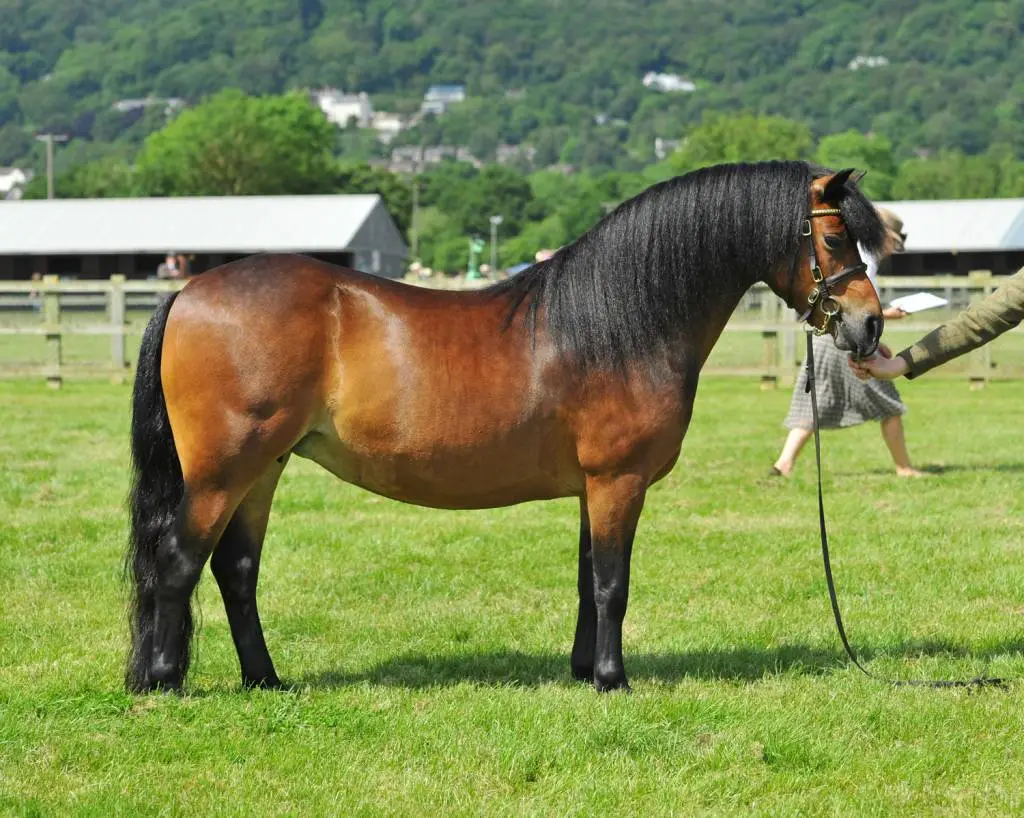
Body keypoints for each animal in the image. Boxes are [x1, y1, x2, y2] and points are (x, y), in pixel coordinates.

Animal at [126, 161, 888, 694]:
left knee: (236, 569)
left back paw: (265, 679)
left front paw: (583, 670)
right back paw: (163, 681)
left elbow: (587, 579)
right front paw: (614, 680)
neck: (623, 323)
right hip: (224, 471)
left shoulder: (593, 487)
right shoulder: (618, 480)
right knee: (179, 560)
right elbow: (613, 583)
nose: (869, 324)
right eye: (833, 235)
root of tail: (189, 291)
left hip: (263, 469)